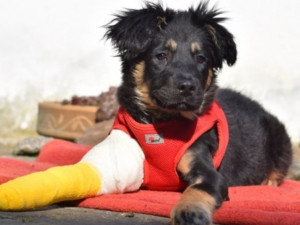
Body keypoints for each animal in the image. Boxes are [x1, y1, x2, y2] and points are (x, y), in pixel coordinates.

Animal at [103, 1, 292, 225]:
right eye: (161, 55)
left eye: (201, 59)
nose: (187, 87)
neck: (162, 123)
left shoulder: (207, 170)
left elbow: (196, 190)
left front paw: (190, 212)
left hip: (280, 139)